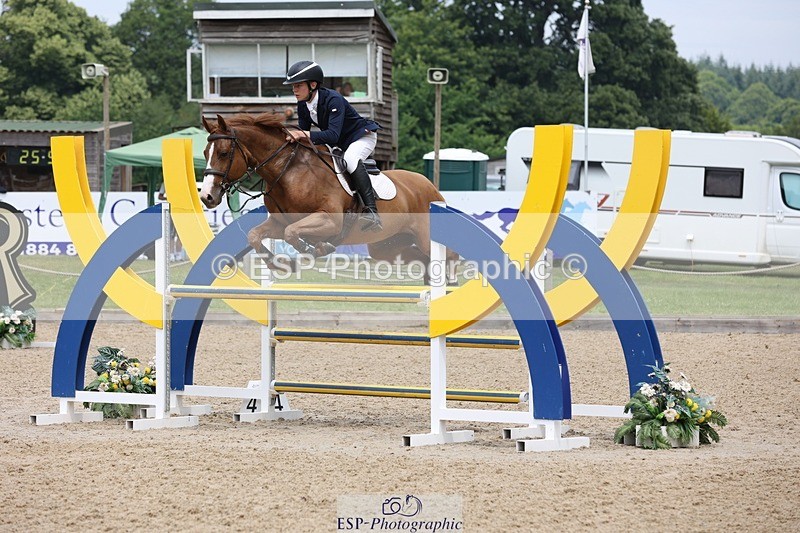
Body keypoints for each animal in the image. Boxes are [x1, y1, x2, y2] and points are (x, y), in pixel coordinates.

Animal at [200, 113, 457, 280]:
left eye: (224, 153)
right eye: (204, 152)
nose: (207, 196)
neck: (289, 172)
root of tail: (431, 187)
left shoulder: (329, 220)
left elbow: (292, 234)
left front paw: (316, 249)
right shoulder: (280, 222)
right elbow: (256, 235)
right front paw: (283, 265)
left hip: (423, 237)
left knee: (449, 257)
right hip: (388, 245)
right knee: (420, 259)